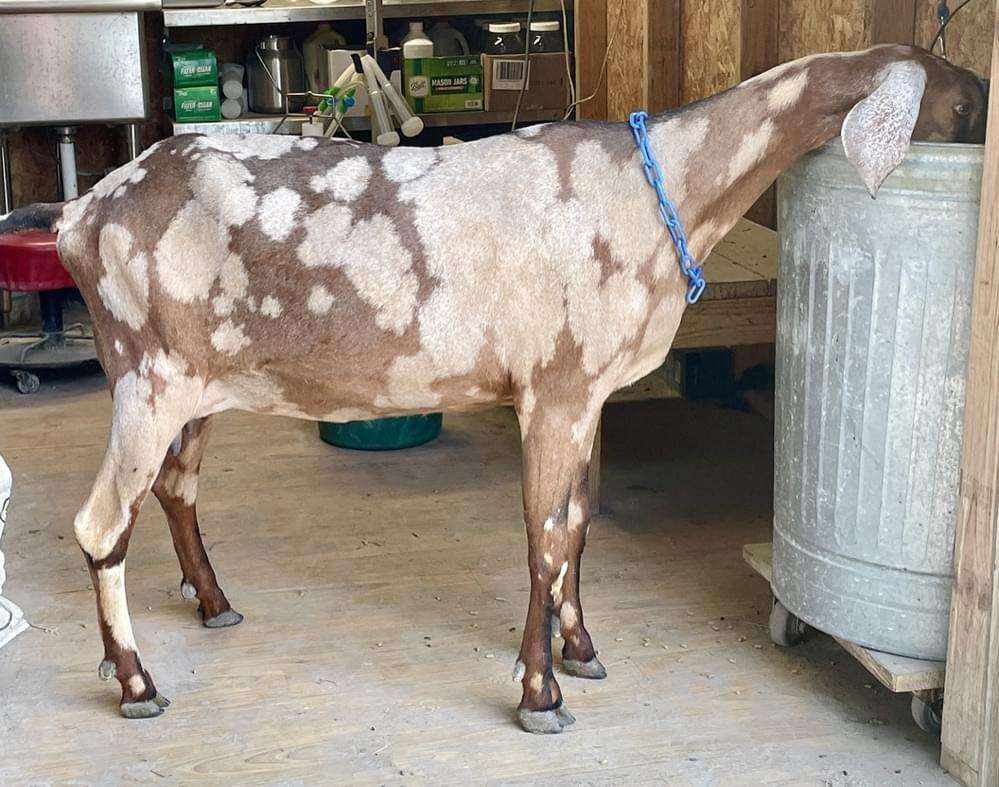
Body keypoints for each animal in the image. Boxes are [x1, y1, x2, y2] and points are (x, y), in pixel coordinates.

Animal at [0, 43, 984, 732]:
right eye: (968, 102)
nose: (985, 125)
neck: (660, 184)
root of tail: (83, 211)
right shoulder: (554, 386)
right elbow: (544, 540)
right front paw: (539, 692)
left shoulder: (588, 395)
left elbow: (577, 528)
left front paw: (580, 649)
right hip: (146, 375)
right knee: (100, 523)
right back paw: (136, 681)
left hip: (199, 385)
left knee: (174, 488)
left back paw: (212, 604)